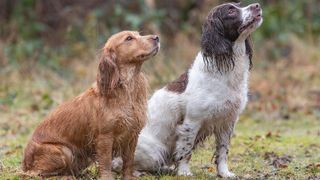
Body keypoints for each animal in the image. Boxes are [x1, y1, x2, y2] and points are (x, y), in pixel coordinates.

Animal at [22, 31, 160, 179]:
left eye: (138, 34)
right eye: (129, 38)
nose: (156, 37)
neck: (127, 89)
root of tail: (25, 163)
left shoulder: (132, 134)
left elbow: (129, 161)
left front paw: (128, 177)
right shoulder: (105, 136)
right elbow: (106, 162)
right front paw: (107, 177)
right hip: (64, 151)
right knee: (36, 173)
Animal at [112, 2, 262, 178]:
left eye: (239, 5)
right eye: (231, 11)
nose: (257, 5)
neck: (224, 71)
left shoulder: (227, 122)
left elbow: (223, 151)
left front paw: (224, 173)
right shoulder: (192, 121)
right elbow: (185, 150)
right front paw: (184, 172)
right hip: (154, 152)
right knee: (120, 164)